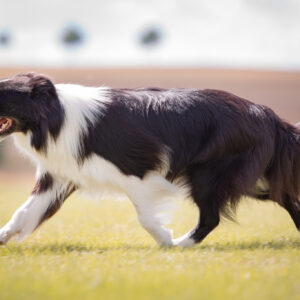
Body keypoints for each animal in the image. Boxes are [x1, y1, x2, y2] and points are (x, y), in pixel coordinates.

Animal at [0, 72, 298, 246]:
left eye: (3, 92)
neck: (56, 118)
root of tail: (267, 114)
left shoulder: (139, 167)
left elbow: (144, 216)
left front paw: (165, 240)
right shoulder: (59, 176)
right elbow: (24, 212)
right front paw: (4, 237)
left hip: (208, 175)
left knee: (211, 218)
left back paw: (182, 244)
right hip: (250, 180)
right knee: (286, 197)